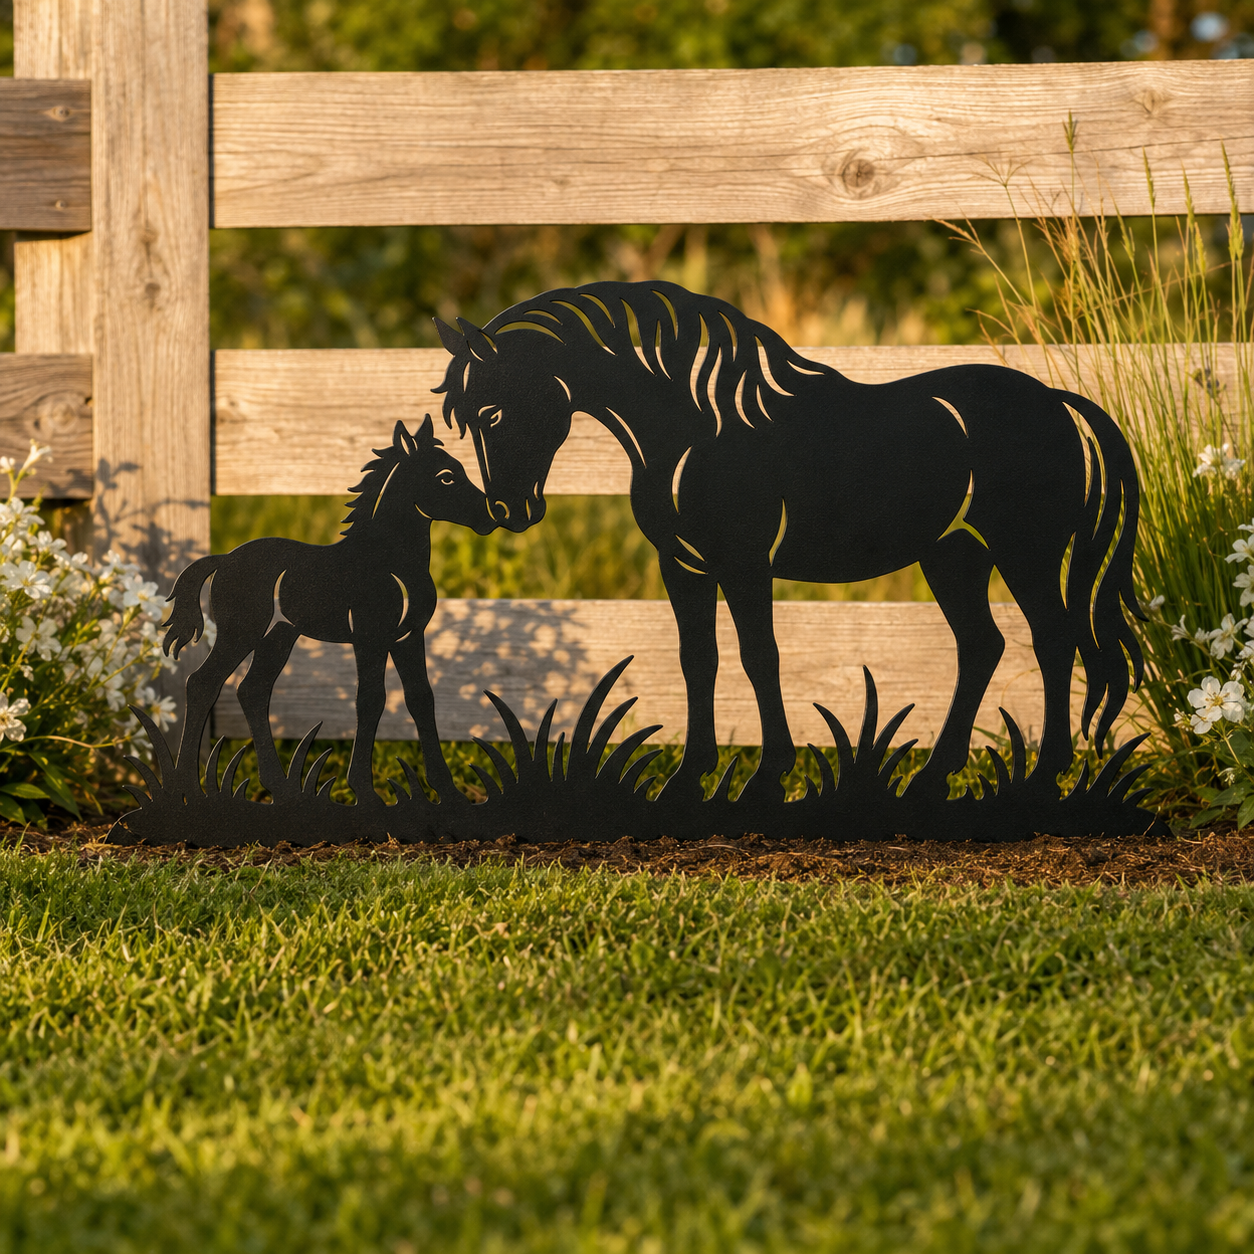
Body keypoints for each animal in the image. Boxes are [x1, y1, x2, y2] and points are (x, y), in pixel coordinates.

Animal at [162, 416, 497, 804]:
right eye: (446, 476)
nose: (490, 518)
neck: (388, 562)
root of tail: (224, 558)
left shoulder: (408, 637)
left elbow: (421, 699)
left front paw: (448, 791)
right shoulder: (370, 637)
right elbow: (371, 700)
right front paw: (365, 791)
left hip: (279, 635)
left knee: (252, 690)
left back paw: (282, 787)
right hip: (241, 632)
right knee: (203, 683)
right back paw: (189, 788)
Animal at [432, 279, 1145, 803]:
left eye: (492, 410)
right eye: (465, 421)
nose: (508, 511)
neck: (699, 432)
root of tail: (1056, 401)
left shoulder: (745, 565)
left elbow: (759, 657)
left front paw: (763, 779)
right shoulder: (683, 567)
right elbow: (700, 660)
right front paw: (687, 781)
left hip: (1026, 554)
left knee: (1052, 641)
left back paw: (1043, 778)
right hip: (954, 556)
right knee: (982, 646)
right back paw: (931, 780)